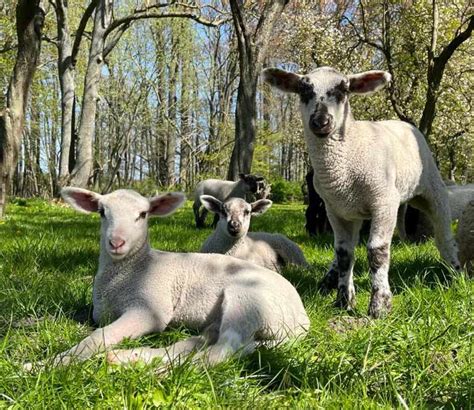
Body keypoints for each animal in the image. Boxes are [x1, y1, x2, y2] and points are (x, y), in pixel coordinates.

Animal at [28, 187, 312, 370]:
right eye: (101, 212)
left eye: (143, 215)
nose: (116, 242)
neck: (131, 271)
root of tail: (301, 318)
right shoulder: (97, 311)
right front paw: (31, 322)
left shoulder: (149, 310)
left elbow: (97, 338)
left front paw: (44, 365)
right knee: (207, 341)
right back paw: (130, 357)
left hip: (247, 302)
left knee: (222, 351)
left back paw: (153, 369)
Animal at [262, 66, 460, 318]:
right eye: (303, 90)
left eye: (344, 90)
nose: (321, 122)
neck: (346, 158)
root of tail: (402, 122)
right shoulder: (336, 210)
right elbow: (344, 254)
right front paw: (343, 301)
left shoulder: (384, 202)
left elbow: (377, 252)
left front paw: (380, 306)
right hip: (354, 210)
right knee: (345, 249)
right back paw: (329, 280)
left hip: (431, 188)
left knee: (443, 233)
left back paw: (455, 272)